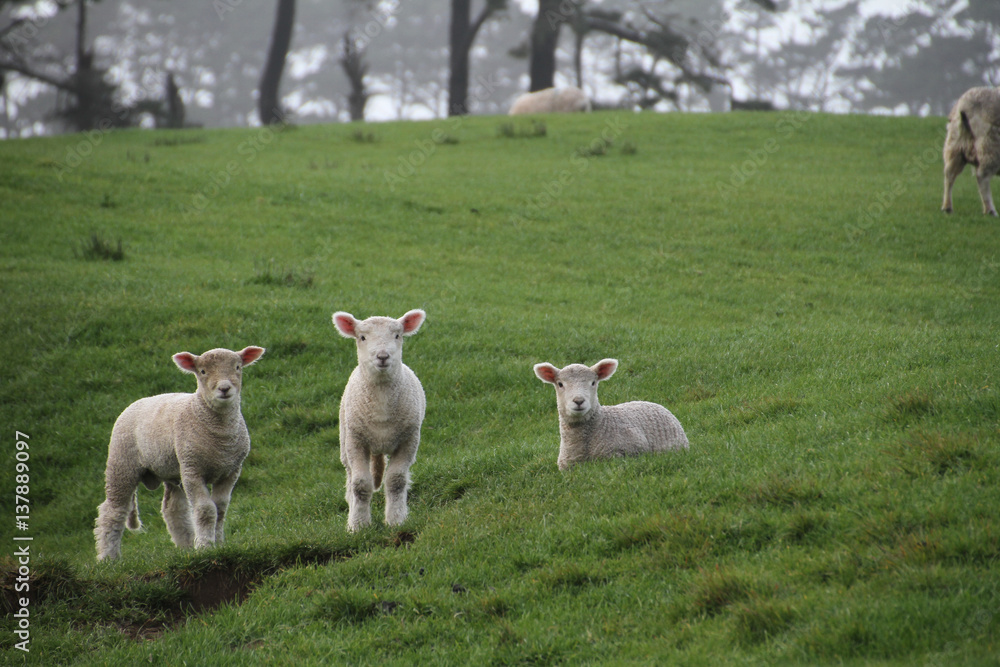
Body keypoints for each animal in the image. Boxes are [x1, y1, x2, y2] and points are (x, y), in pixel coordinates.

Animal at [94, 346, 265, 561]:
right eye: (202, 371)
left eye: (237, 367)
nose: (225, 389)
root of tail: (135, 403)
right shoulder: (193, 470)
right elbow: (206, 510)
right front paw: (205, 547)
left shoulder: (231, 471)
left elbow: (220, 509)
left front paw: (218, 544)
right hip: (122, 462)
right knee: (113, 511)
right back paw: (108, 558)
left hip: (172, 469)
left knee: (172, 509)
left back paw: (186, 548)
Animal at [333, 309, 426, 531]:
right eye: (362, 337)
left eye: (397, 335)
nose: (383, 356)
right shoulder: (356, 441)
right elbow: (360, 484)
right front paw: (358, 525)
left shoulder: (409, 440)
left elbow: (396, 481)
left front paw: (396, 520)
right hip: (345, 440)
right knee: (350, 475)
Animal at [942, 86, 1000, 216]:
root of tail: (965, 106)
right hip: (990, 144)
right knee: (982, 176)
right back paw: (990, 210)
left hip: (955, 145)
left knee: (949, 174)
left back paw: (947, 207)